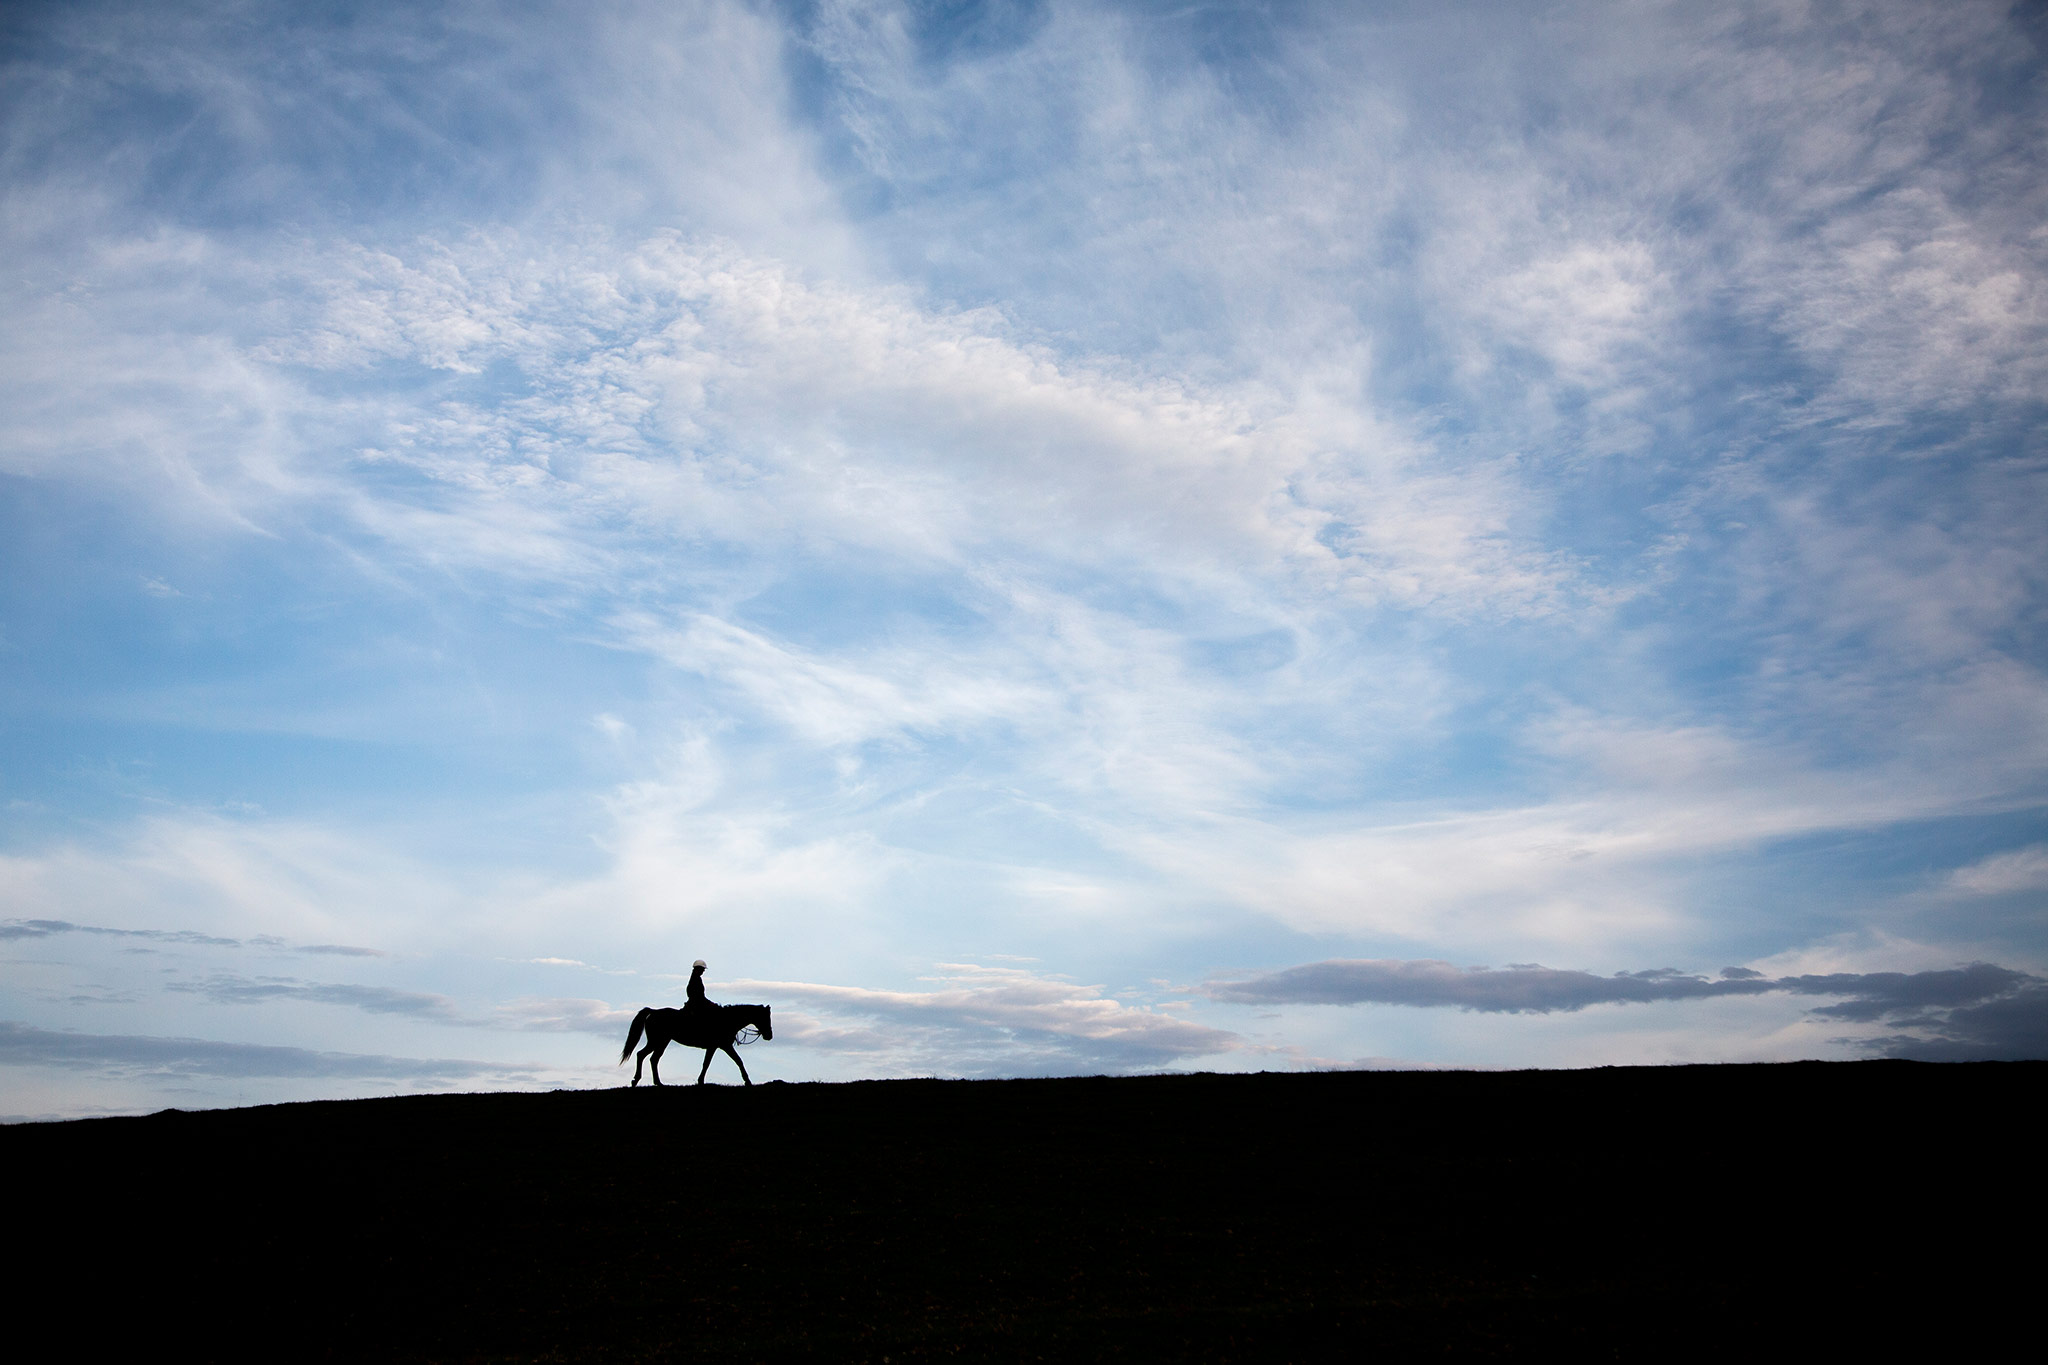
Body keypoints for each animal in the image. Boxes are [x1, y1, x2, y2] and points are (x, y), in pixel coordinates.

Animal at [618, 998, 770, 1080]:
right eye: (765, 1018)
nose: (769, 1036)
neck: (726, 1020)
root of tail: (654, 1011)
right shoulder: (723, 1046)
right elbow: (738, 1061)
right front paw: (747, 1081)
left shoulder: (714, 1047)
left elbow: (707, 1063)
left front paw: (700, 1080)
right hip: (658, 1041)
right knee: (644, 1055)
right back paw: (641, 1080)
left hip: (661, 1041)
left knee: (651, 1058)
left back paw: (653, 1082)